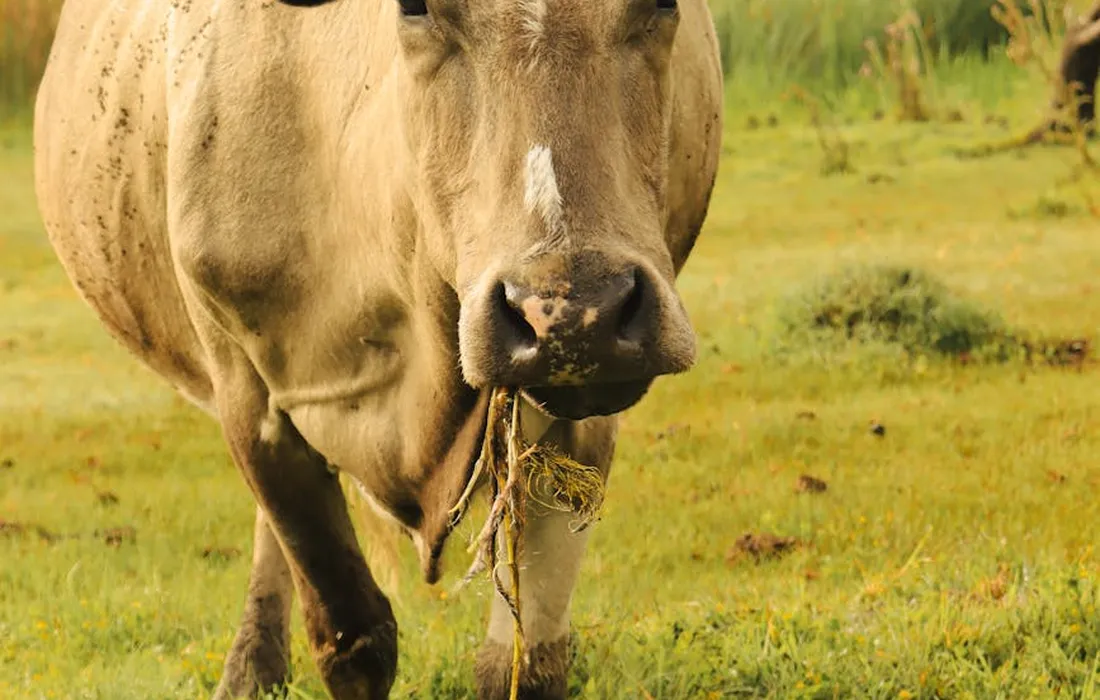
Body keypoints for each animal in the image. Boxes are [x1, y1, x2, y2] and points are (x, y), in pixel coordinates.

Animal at [33, 0, 722, 697]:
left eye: (665, 4)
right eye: (416, 8)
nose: (574, 313)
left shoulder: (574, 416)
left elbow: (523, 663)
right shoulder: (247, 393)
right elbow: (353, 635)